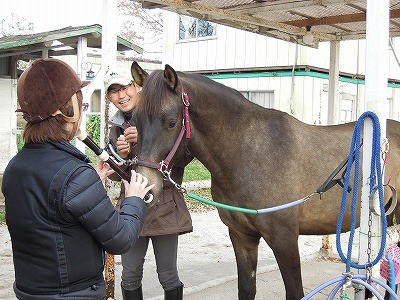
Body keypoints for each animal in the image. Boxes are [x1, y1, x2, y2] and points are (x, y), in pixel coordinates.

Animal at [130, 61, 400, 300]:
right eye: (134, 120)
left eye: (171, 122)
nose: (146, 187)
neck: (249, 152)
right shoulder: (242, 236)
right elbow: (246, 289)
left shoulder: (285, 239)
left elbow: (295, 292)